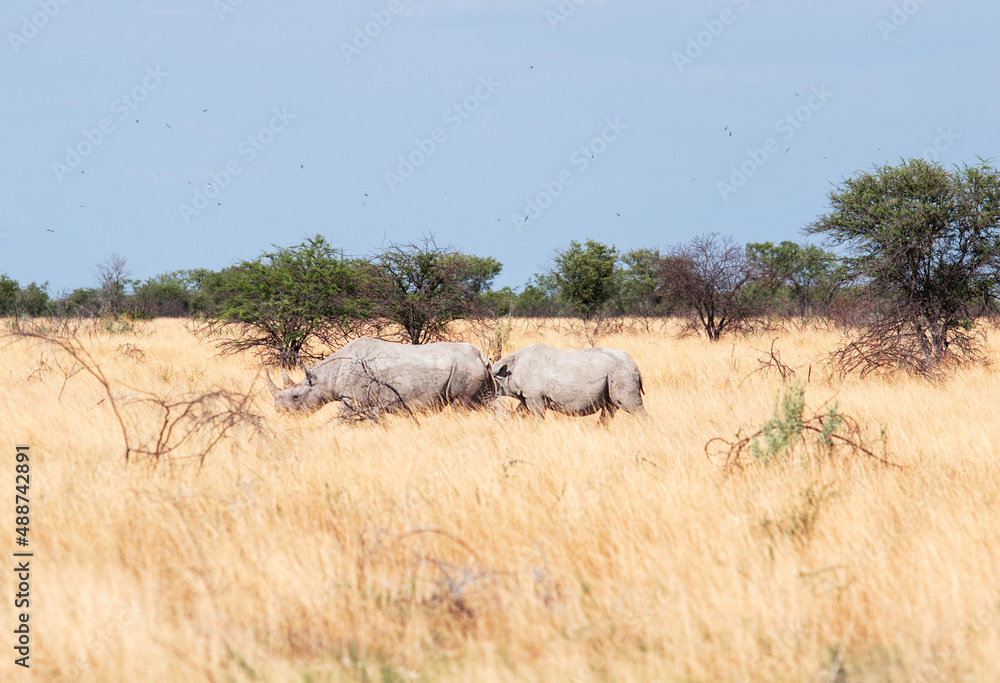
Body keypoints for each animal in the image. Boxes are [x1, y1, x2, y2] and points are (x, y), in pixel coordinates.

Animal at [265, 337, 494, 418]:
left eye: (295, 397)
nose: (279, 412)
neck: (325, 376)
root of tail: (480, 355)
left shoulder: (352, 397)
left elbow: (343, 419)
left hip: (464, 369)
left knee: (459, 406)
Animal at [491, 343, 648, 423]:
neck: (507, 371)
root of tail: (635, 366)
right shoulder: (527, 397)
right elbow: (519, 413)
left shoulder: (534, 397)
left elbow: (537, 418)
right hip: (615, 374)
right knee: (610, 408)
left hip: (621, 372)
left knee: (631, 406)